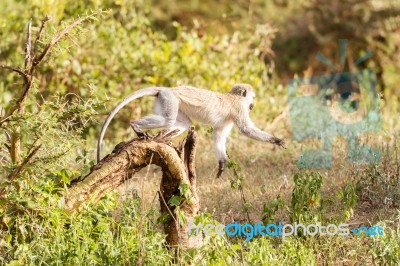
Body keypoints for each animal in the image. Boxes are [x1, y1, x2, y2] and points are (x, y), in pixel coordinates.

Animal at [96, 84, 284, 178]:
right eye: (252, 98)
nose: (252, 105)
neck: (234, 97)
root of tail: (166, 89)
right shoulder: (239, 109)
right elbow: (246, 129)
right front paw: (276, 140)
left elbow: (218, 135)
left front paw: (222, 162)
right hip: (170, 100)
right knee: (169, 120)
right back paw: (136, 125)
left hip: (167, 101)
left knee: (184, 123)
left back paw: (164, 138)